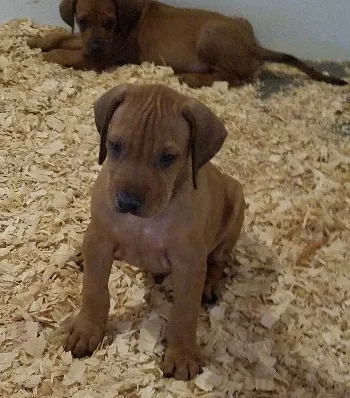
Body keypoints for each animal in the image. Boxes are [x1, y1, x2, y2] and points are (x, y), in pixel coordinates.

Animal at [28, 0, 348, 88]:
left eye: (109, 22)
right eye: (82, 20)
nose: (95, 47)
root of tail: (254, 45)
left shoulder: (98, 59)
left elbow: (63, 54)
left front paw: (47, 56)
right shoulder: (84, 42)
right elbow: (62, 37)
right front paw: (37, 40)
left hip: (210, 36)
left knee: (232, 77)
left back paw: (190, 78)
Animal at [63, 83, 245, 380]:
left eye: (168, 158)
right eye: (115, 145)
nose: (127, 202)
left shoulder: (189, 264)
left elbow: (184, 312)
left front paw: (182, 355)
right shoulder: (100, 240)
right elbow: (94, 290)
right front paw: (86, 329)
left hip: (236, 207)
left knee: (220, 260)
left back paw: (210, 284)